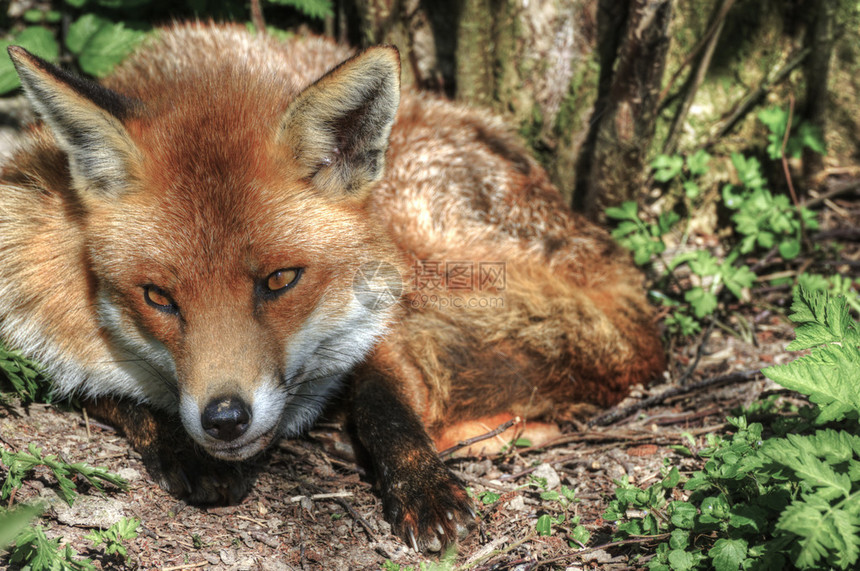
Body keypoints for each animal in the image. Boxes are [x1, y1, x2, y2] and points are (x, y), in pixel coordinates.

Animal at [1, 23, 664, 556]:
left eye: (280, 280)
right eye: (159, 297)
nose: (224, 420)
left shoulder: (379, 311)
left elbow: (387, 404)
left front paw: (421, 483)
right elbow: (114, 398)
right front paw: (182, 448)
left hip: (425, 247)